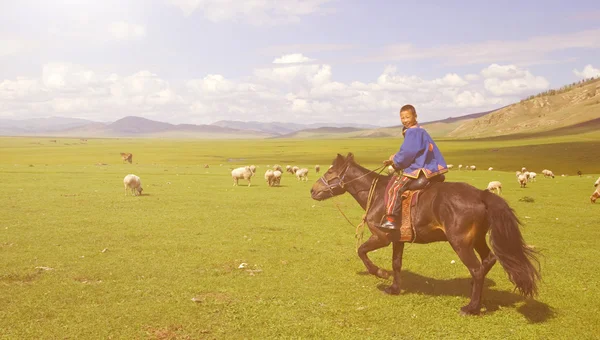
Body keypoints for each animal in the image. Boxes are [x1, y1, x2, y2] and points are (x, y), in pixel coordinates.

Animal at [310, 153, 540, 314]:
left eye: (330, 172)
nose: (313, 190)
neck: (376, 195)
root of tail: (481, 194)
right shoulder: (397, 239)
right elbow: (396, 263)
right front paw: (394, 288)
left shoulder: (381, 237)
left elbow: (361, 251)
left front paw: (380, 273)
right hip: (477, 239)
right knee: (488, 260)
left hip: (461, 243)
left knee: (476, 268)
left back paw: (471, 307)